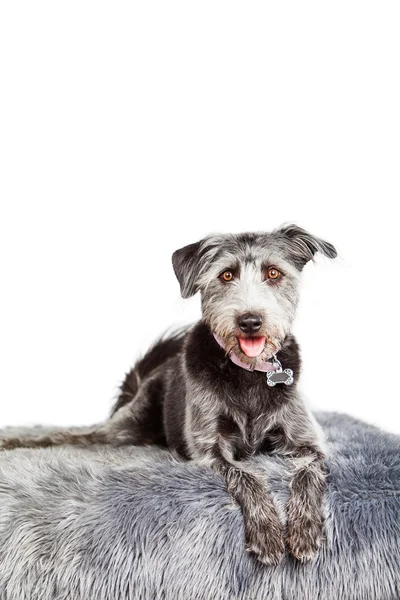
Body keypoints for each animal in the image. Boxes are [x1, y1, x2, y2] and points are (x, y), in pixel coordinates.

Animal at [0, 225, 338, 568]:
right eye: (226, 275)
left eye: (273, 273)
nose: (250, 321)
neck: (249, 374)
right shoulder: (209, 449)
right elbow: (246, 476)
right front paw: (267, 532)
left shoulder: (309, 443)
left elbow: (309, 474)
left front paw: (306, 531)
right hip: (127, 425)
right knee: (74, 435)